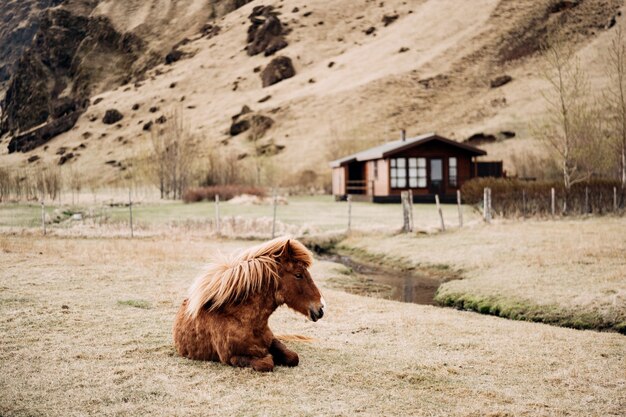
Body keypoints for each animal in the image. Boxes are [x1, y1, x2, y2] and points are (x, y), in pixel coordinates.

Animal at [173, 237, 324, 370]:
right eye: (298, 275)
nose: (321, 308)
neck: (244, 320)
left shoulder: (272, 340)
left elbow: (293, 357)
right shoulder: (231, 357)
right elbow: (266, 363)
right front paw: (269, 357)